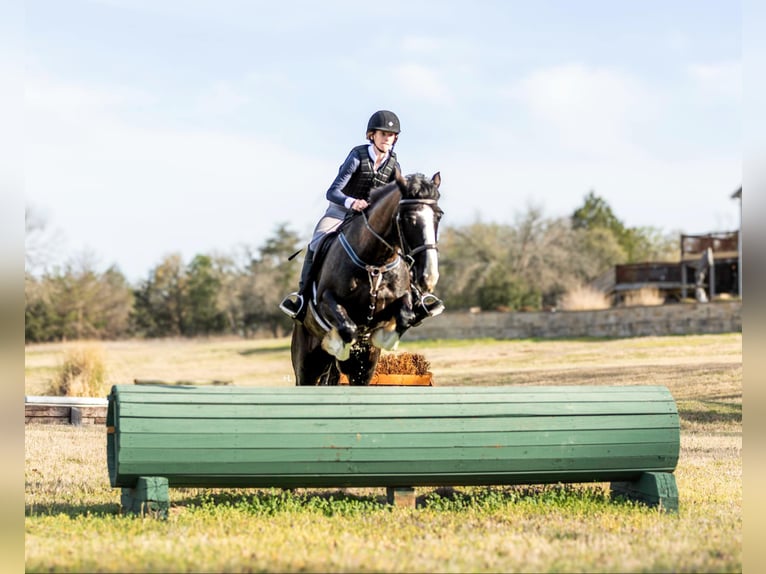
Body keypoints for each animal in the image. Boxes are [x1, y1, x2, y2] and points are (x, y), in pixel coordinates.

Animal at [291, 171, 443, 386]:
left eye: (439, 216)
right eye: (408, 218)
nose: (429, 276)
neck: (375, 263)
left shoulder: (400, 299)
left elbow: (406, 315)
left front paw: (383, 338)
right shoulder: (324, 301)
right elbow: (347, 327)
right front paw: (339, 346)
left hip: (364, 371)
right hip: (305, 366)